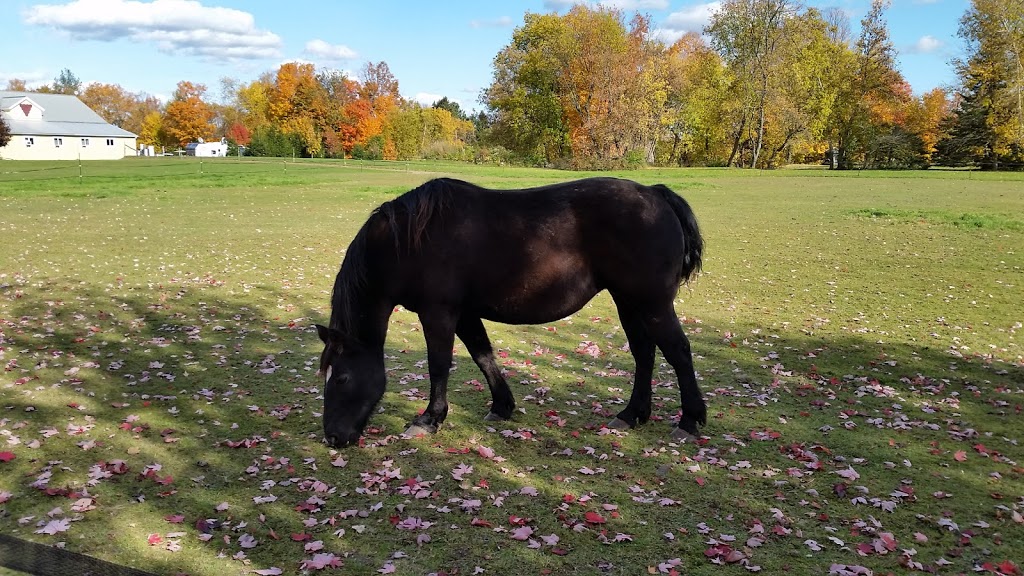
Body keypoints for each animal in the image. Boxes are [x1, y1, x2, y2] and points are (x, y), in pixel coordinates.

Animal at [315, 177, 708, 446]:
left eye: (342, 378)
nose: (333, 437)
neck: (411, 241)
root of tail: (654, 193)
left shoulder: (438, 313)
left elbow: (439, 365)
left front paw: (429, 419)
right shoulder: (465, 313)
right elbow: (483, 355)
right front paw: (502, 406)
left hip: (652, 304)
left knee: (678, 351)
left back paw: (689, 420)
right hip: (628, 302)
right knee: (644, 353)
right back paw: (632, 415)